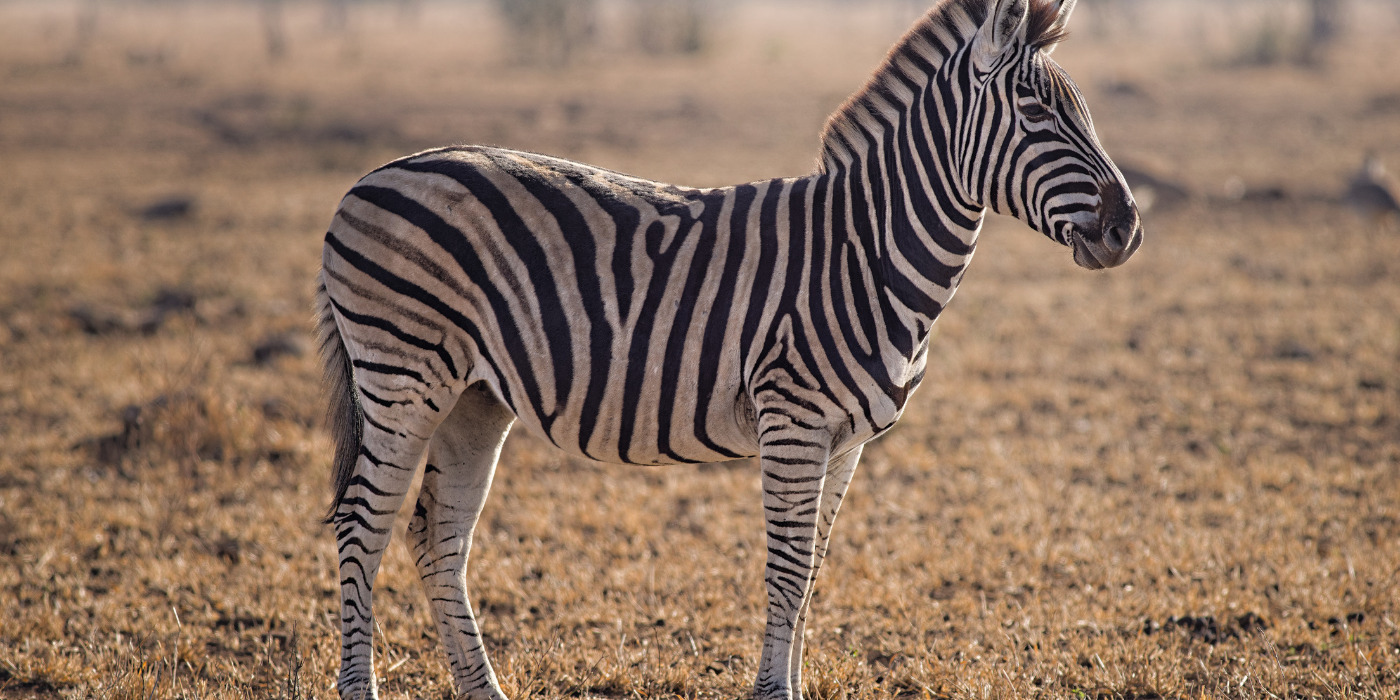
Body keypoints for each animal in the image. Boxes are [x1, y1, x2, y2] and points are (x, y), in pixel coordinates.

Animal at [316, 0, 1142, 697]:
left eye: (1083, 110)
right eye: (1035, 111)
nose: (1127, 228)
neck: (866, 250)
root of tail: (365, 182)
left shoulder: (847, 441)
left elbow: (813, 570)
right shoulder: (794, 419)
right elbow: (786, 569)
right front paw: (775, 693)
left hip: (474, 398)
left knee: (437, 535)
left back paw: (483, 690)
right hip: (403, 377)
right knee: (363, 525)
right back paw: (362, 687)